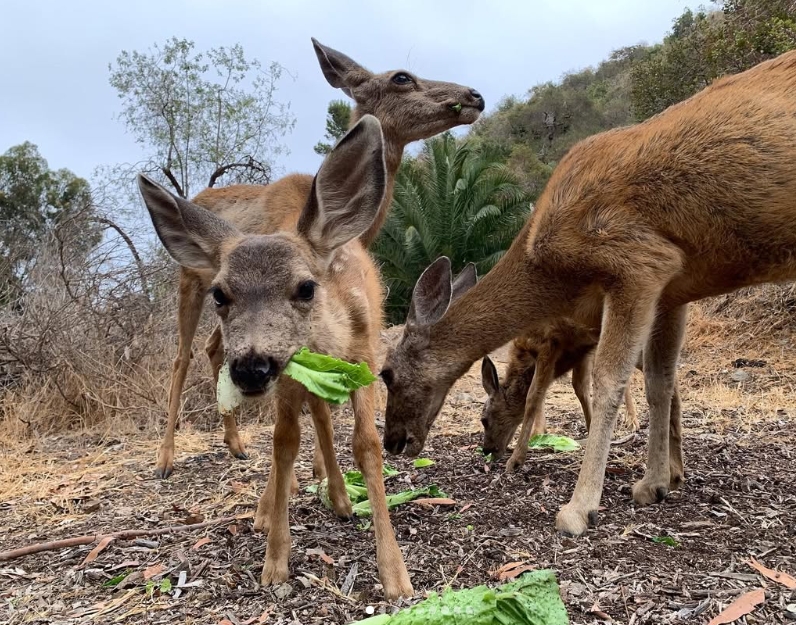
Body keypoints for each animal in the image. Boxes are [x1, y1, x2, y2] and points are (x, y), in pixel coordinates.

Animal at [137, 115, 414, 598]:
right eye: (221, 294)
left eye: (305, 287)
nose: (250, 368)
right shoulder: (289, 376)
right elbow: (284, 443)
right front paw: (275, 559)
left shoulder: (362, 359)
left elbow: (367, 443)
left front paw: (394, 573)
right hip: (192, 293)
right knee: (184, 360)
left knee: (320, 414)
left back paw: (339, 497)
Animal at [154, 37, 485, 481]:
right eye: (401, 77)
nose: (474, 96)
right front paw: (307, 474)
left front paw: (320, 469)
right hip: (190, 283)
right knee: (181, 356)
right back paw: (166, 457)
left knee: (212, 348)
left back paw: (236, 443)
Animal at [480, 321, 641, 472]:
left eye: (484, 420)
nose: (486, 449)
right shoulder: (580, 350)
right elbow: (577, 387)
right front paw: (539, 432)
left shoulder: (549, 344)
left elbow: (533, 396)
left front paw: (516, 460)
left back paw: (632, 421)